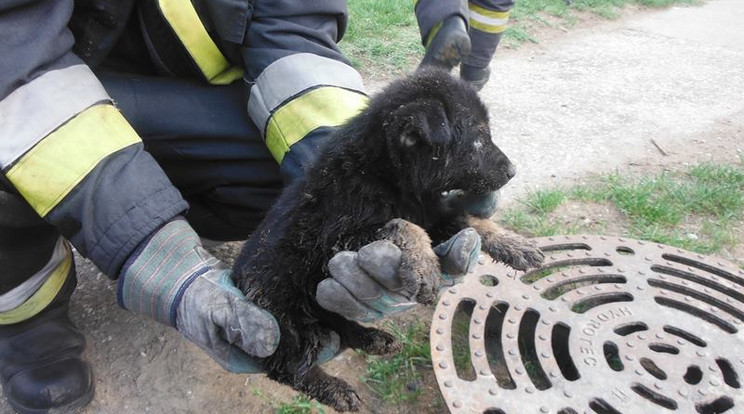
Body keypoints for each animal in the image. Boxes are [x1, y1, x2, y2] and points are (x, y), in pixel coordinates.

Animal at [235, 68, 544, 410]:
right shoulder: (334, 240)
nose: (512, 171)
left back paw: (373, 339)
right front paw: (422, 265)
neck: (386, 176)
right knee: (286, 367)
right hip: (287, 319)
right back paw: (334, 389)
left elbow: (471, 220)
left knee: (338, 322)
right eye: (477, 140)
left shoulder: (432, 214)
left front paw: (515, 244)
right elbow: (401, 224)